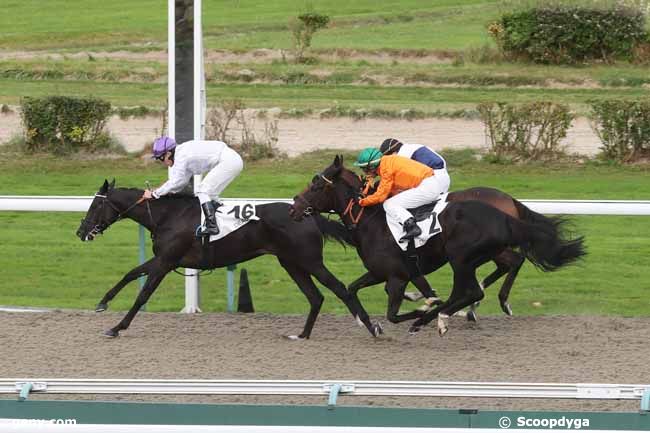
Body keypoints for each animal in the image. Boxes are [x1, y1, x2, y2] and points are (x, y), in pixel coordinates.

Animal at [76, 178, 380, 338]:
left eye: (96, 205)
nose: (81, 231)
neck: (167, 216)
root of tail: (308, 214)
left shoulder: (166, 262)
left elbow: (143, 294)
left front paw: (117, 327)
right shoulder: (165, 259)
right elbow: (130, 273)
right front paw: (103, 303)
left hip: (310, 261)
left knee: (339, 289)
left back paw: (371, 326)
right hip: (291, 263)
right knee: (315, 297)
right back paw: (302, 335)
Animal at [288, 157, 584, 336]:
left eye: (316, 186)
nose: (294, 208)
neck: (370, 221)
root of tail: (506, 211)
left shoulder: (397, 276)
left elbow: (394, 313)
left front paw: (420, 309)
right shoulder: (382, 272)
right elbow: (352, 288)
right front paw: (372, 325)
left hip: (460, 258)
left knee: (473, 290)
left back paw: (439, 317)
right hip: (472, 259)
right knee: (481, 284)